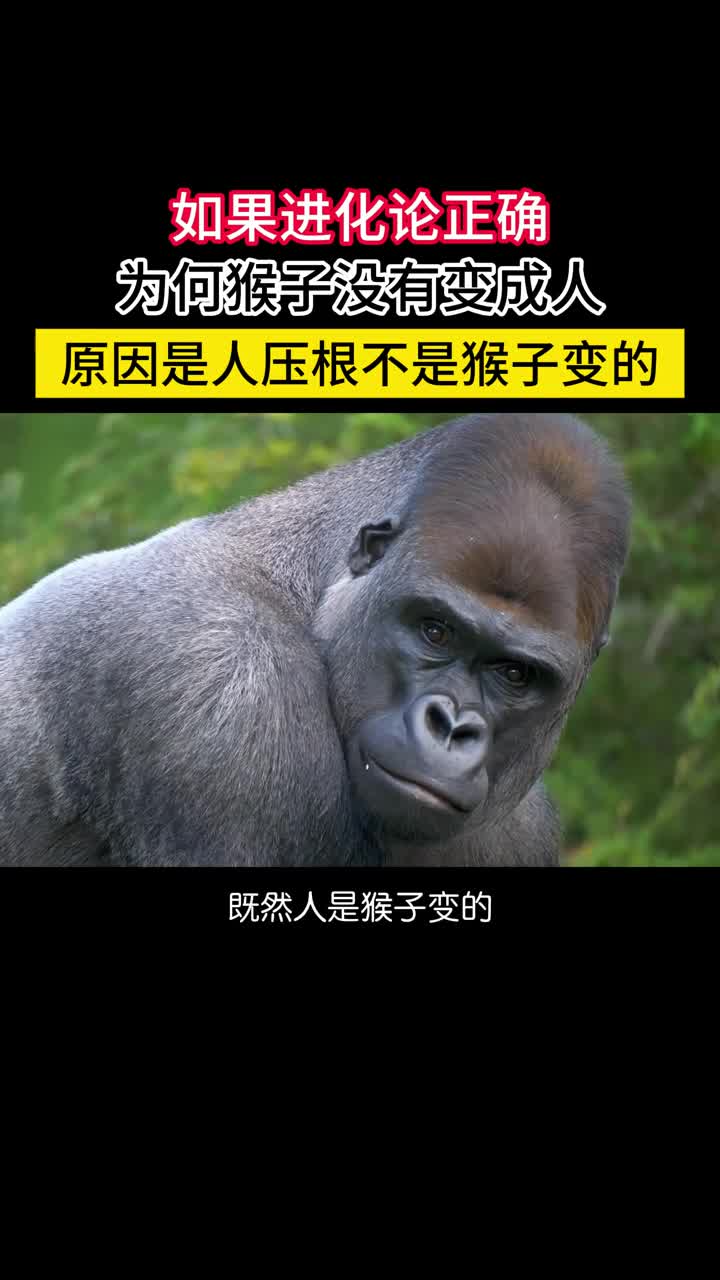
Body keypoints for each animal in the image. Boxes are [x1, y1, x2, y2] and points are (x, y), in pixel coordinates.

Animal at [0, 413, 631, 867]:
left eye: (514, 674)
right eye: (435, 630)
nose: (452, 728)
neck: (306, 586)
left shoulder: (522, 831)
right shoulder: (221, 693)